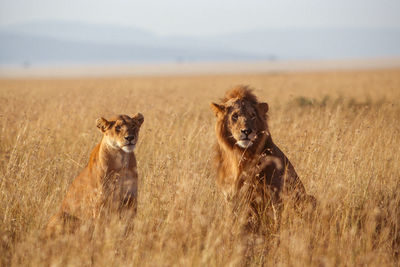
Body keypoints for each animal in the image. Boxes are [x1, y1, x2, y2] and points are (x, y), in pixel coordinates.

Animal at [209, 86, 316, 230]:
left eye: (252, 116)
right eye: (235, 116)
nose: (247, 131)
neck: (239, 155)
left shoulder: (273, 193)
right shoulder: (230, 196)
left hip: (309, 198)